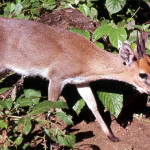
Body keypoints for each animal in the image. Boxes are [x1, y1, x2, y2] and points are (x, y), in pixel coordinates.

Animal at [0, 17, 150, 141]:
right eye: (142, 74)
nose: (149, 91)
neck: (87, 60)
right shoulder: (56, 77)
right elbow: (51, 106)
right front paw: (49, 139)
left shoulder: (81, 81)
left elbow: (93, 105)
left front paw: (111, 136)